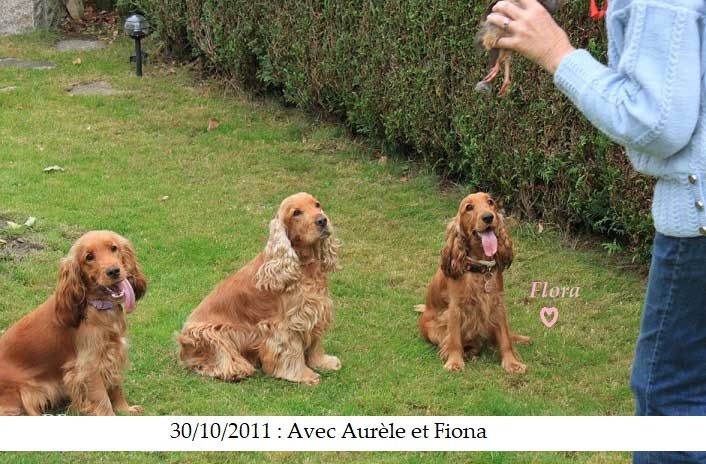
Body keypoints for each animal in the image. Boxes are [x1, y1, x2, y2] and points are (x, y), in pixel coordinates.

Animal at [0, 231, 147, 415]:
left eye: (114, 248)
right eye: (89, 257)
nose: (114, 271)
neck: (100, 307)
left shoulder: (114, 352)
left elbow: (116, 386)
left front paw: (125, 409)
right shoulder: (89, 366)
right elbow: (103, 399)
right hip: (24, 394)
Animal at [178, 192, 341, 385]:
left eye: (317, 205)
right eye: (296, 213)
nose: (322, 220)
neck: (305, 267)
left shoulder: (315, 310)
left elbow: (316, 342)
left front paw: (323, 362)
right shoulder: (286, 324)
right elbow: (292, 349)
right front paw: (303, 375)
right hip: (210, 334)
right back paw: (236, 370)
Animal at [416, 192, 530, 373]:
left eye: (490, 202)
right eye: (469, 207)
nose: (488, 217)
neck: (479, 267)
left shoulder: (496, 303)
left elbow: (505, 338)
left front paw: (512, 362)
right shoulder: (455, 308)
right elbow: (454, 339)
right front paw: (454, 362)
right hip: (433, 328)